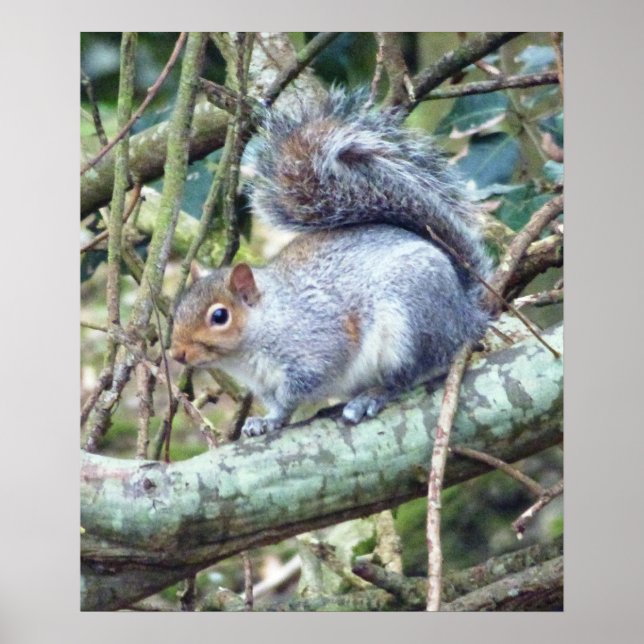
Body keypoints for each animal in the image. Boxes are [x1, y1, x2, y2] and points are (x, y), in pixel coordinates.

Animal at [170, 88, 491, 437]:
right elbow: (278, 405)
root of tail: (465, 315)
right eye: (179, 306)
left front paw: (275, 417)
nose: (176, 353)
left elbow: (298, 391)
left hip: (411, 323)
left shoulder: (315, 347)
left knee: (407, 376)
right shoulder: (266, 384)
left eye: (220, 316)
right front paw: (266, 421)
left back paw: (371, 397)